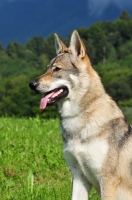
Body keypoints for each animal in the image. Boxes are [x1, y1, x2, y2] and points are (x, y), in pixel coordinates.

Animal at [28, 30, 132, 199]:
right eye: (47, 68)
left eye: (57, 69)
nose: (31, 84)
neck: (77, 119)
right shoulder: (78, 177)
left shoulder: (107, 180)